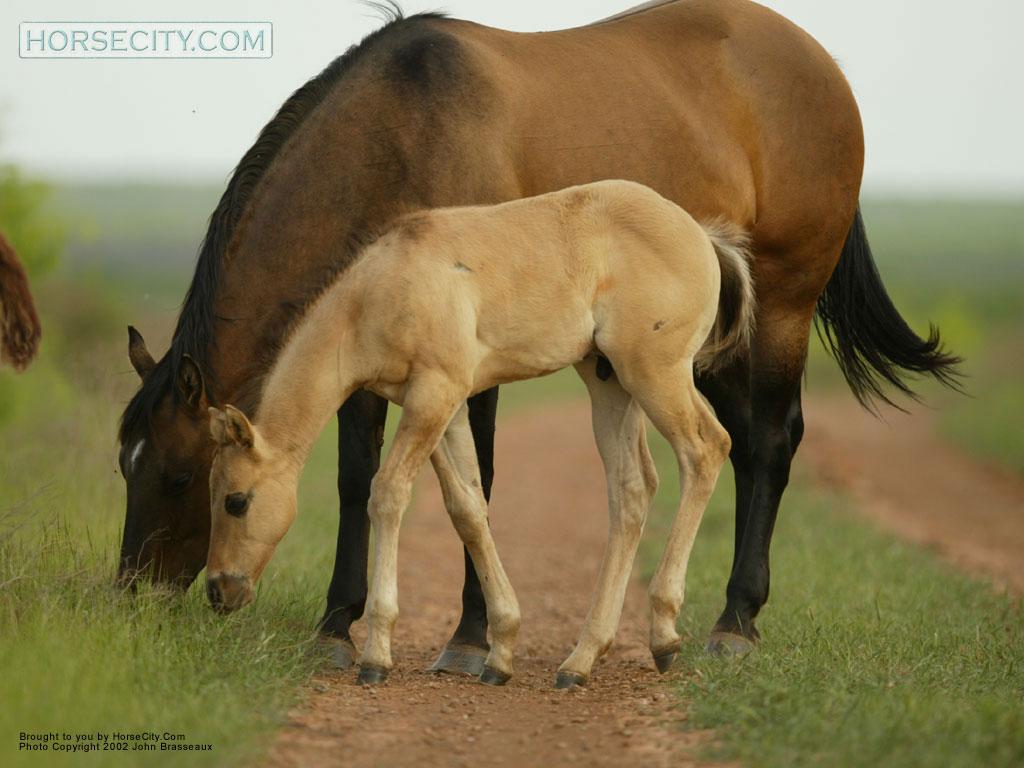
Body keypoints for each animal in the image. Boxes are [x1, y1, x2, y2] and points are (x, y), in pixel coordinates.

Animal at [203, 180, 756, 687]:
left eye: (236, 501)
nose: (218, 590)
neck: (379, 290)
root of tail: (702, 235)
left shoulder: (435, 393)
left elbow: (387, 493)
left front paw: (377, 655)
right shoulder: (440, 410)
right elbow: (467, 509)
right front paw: (500, 652)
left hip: (655, 375)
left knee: (706, 449)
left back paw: (662, 633)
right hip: (609, 383)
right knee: (632, 490)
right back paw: (581, 660)